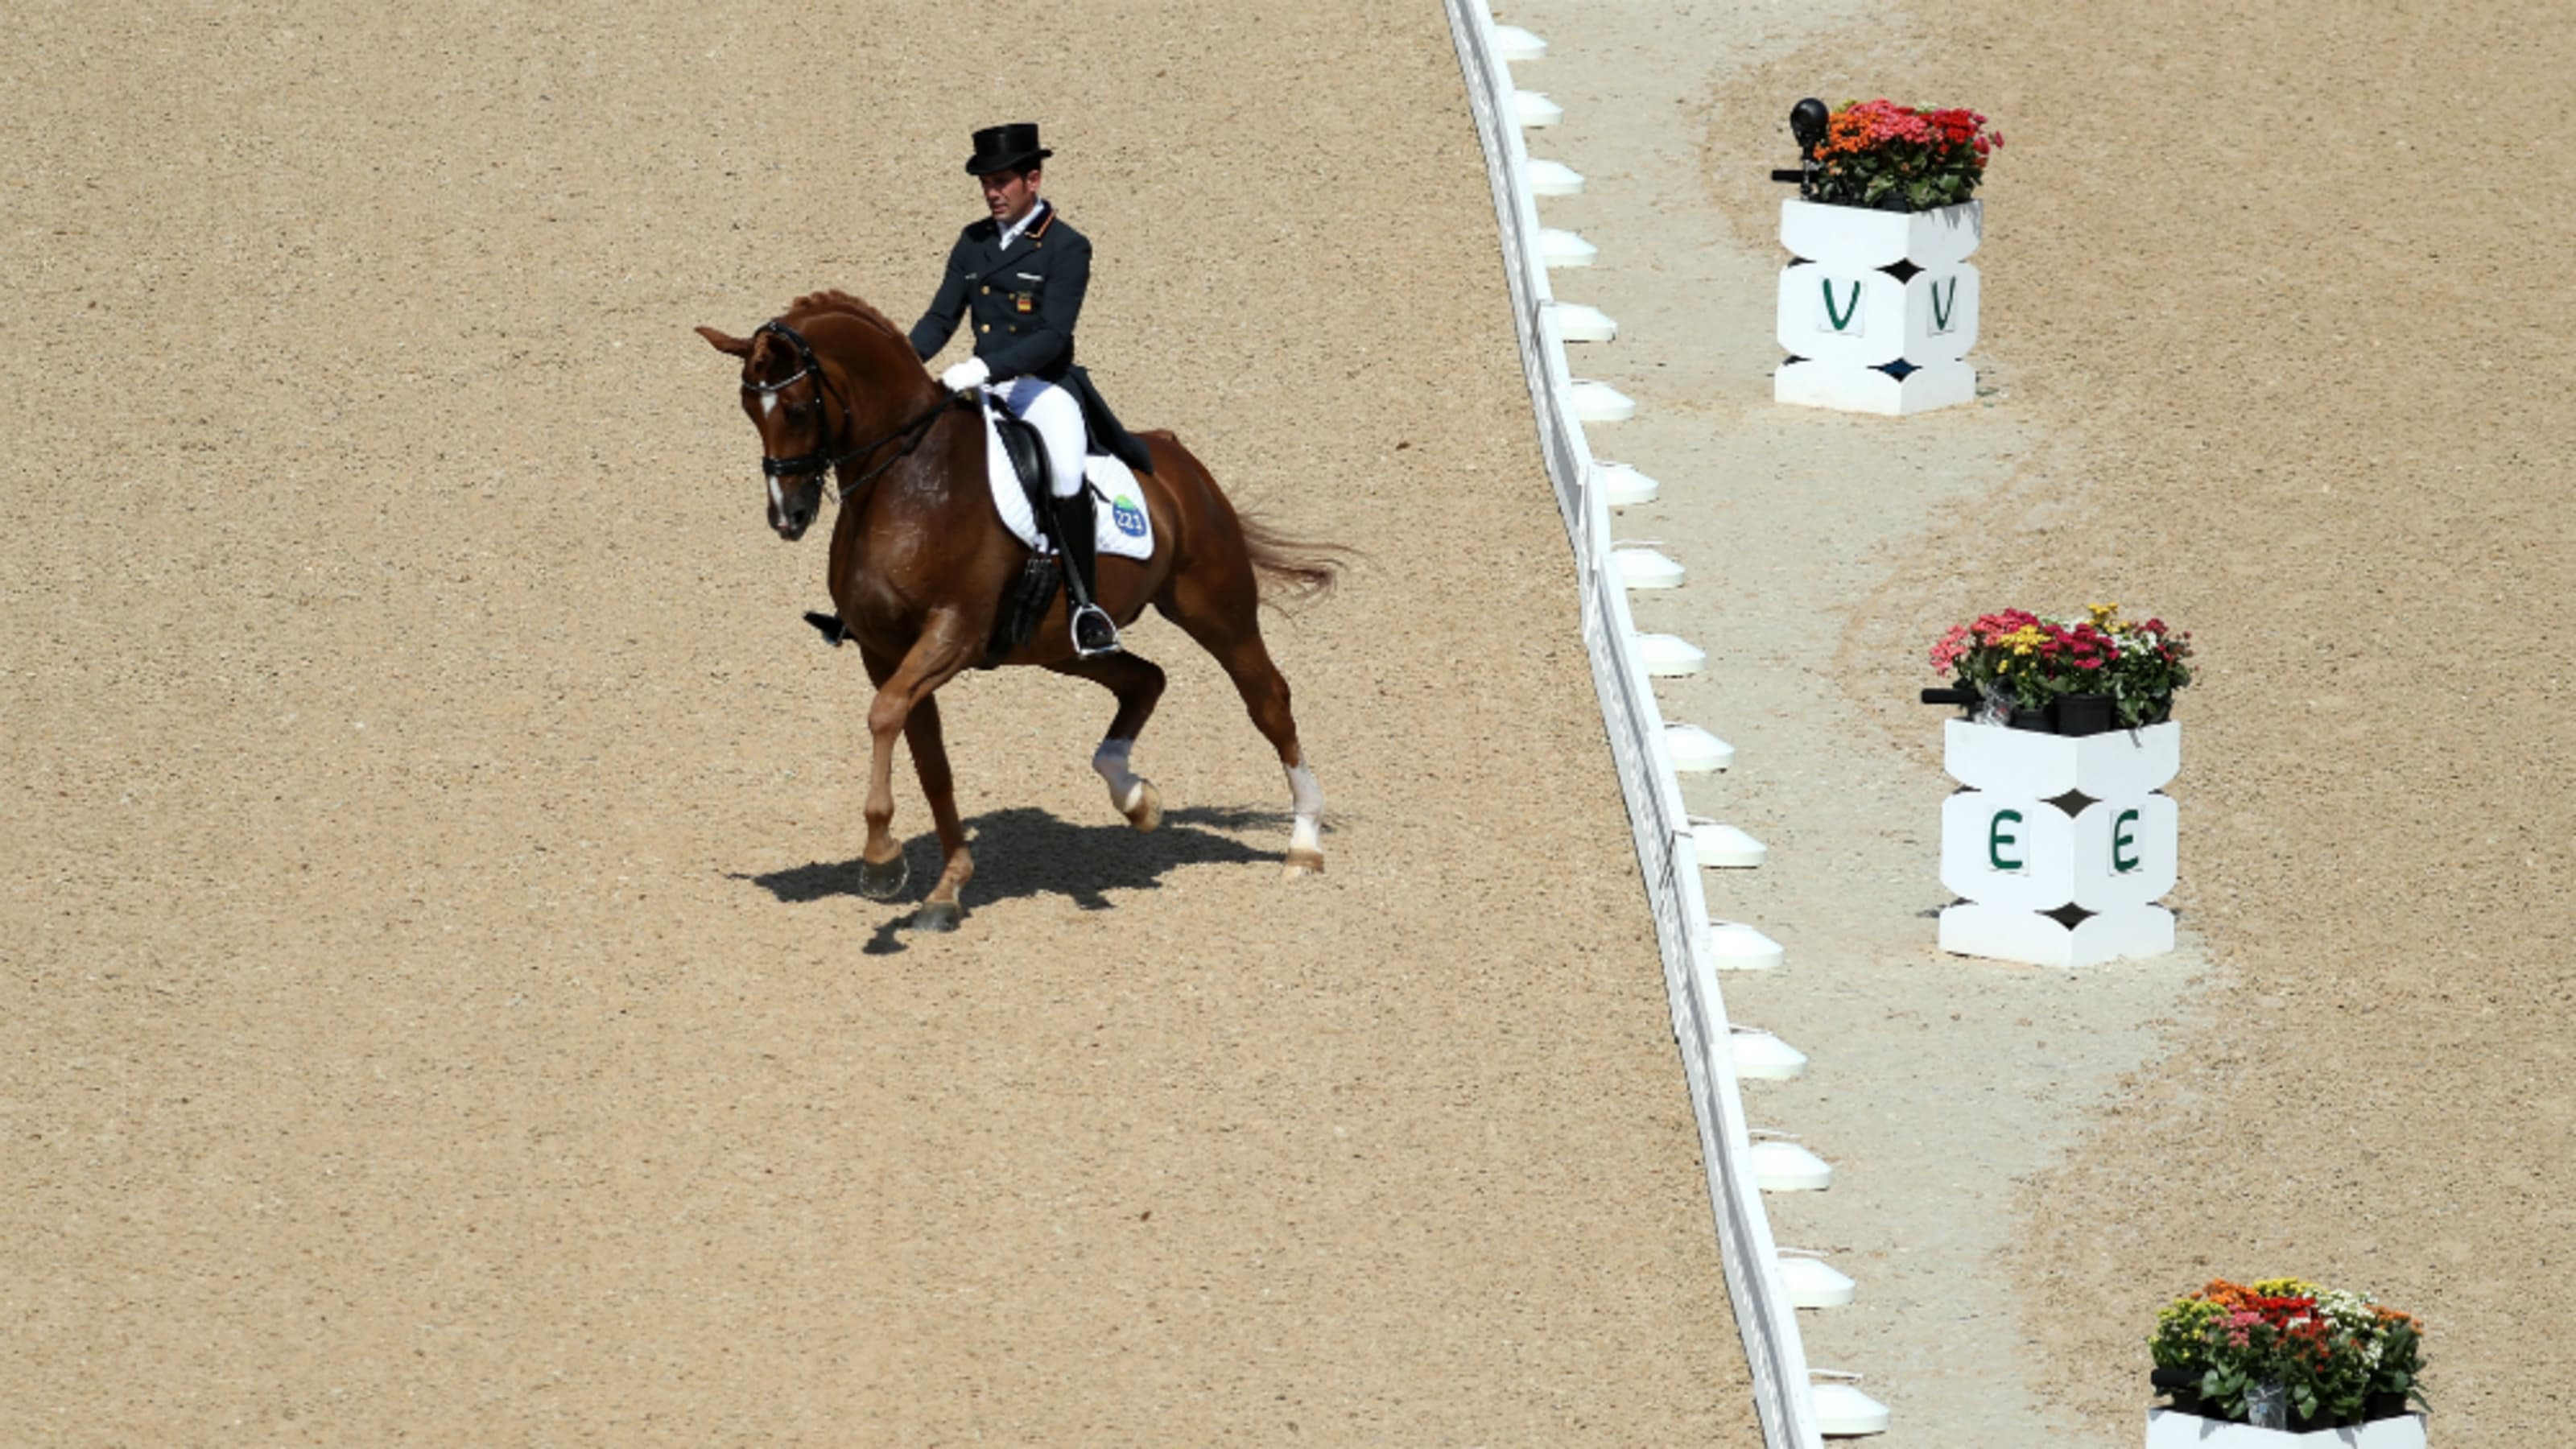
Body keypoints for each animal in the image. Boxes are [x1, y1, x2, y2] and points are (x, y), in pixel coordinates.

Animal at [700, 287, 1349, 928]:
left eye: (797, 409)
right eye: (748, 408)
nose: (788, 516)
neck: (909, 482)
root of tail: (1174, 456)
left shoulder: (952, 633)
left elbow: (884, 716)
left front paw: (882, 859)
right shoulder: (886, 653)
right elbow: (930, 762)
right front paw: (947, 888)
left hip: (1216, 609)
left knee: (1268, 701)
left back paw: (1304, 845)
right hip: (1059, 644)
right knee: (1146, 679)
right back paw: (1136, 798)